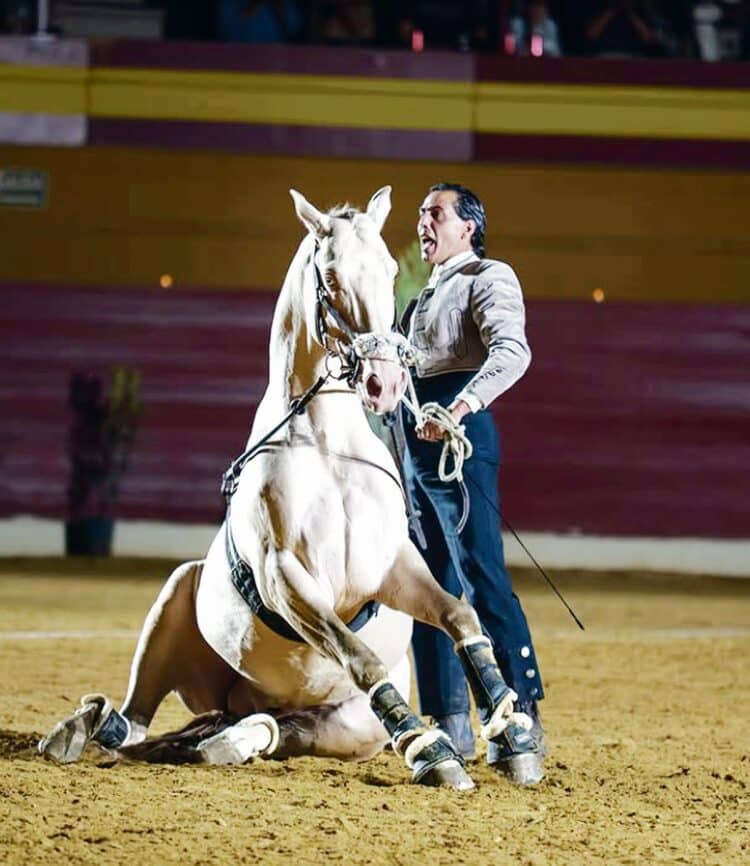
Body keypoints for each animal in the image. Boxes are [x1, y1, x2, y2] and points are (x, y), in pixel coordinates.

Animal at [40, 187, 541, 789]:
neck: (325, 447)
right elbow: (360, 655)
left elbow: (461, 616)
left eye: (390, 269)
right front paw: (435, 752)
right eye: (329, 279)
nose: (385, 382)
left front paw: (510, 732)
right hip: (176, 600)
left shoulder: (393, 567)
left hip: (345, 726)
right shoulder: (288, 578)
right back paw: (79, 728)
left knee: (268, 729)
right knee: (131, 722)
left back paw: (228, 740)